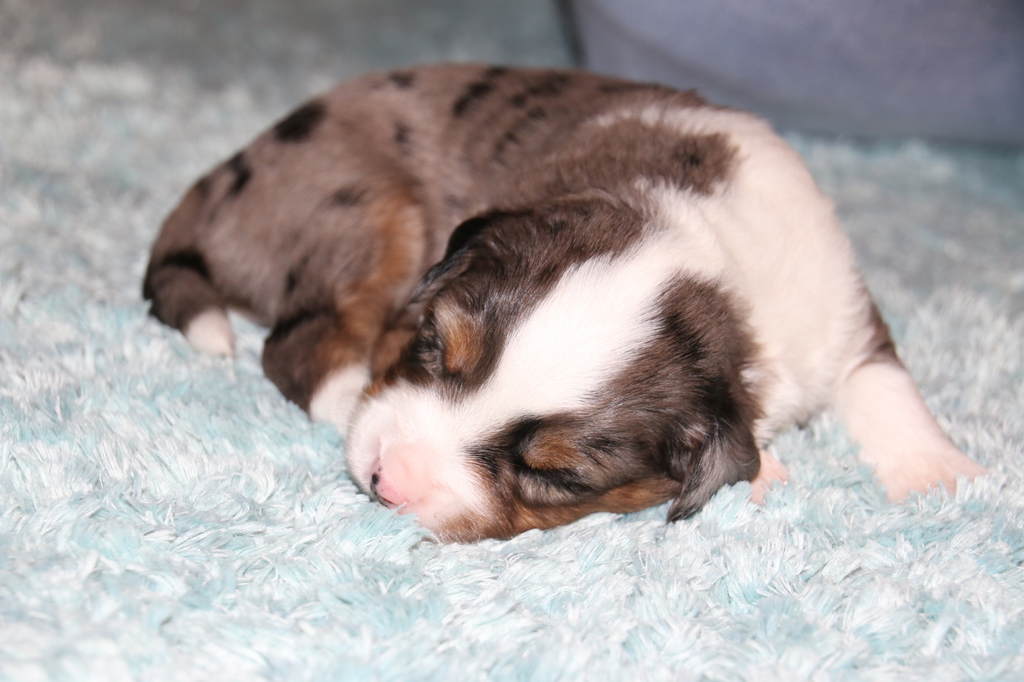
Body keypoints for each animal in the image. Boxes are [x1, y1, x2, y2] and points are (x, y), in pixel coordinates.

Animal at [144, 64, 985, 542]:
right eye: (431, 346)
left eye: (554, 476)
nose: (385, 479)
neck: (709, 256)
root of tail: (228, 171)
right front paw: (768, 467)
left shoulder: (841, 309)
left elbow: (881, 380)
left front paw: (938, 474)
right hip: (370, 208)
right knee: (297, 346)